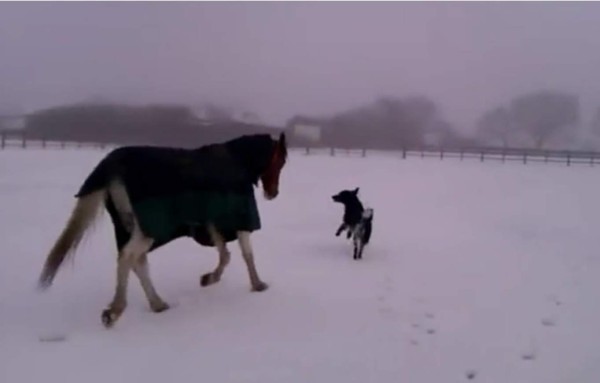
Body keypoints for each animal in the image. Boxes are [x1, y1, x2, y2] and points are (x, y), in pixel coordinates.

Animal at [36, 134, 288, 328]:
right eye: (281, 161)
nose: (273, 193)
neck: (236, 161)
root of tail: (111, 167)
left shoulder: (211, 221)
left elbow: (224, 254)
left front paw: (209, 278)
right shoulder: (239, 220)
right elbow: (246, 254)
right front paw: (258, 285)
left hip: (129, 227)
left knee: (137, 262)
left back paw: (157, 304)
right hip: (146, 230)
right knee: (128, 258)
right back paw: (115, 310)